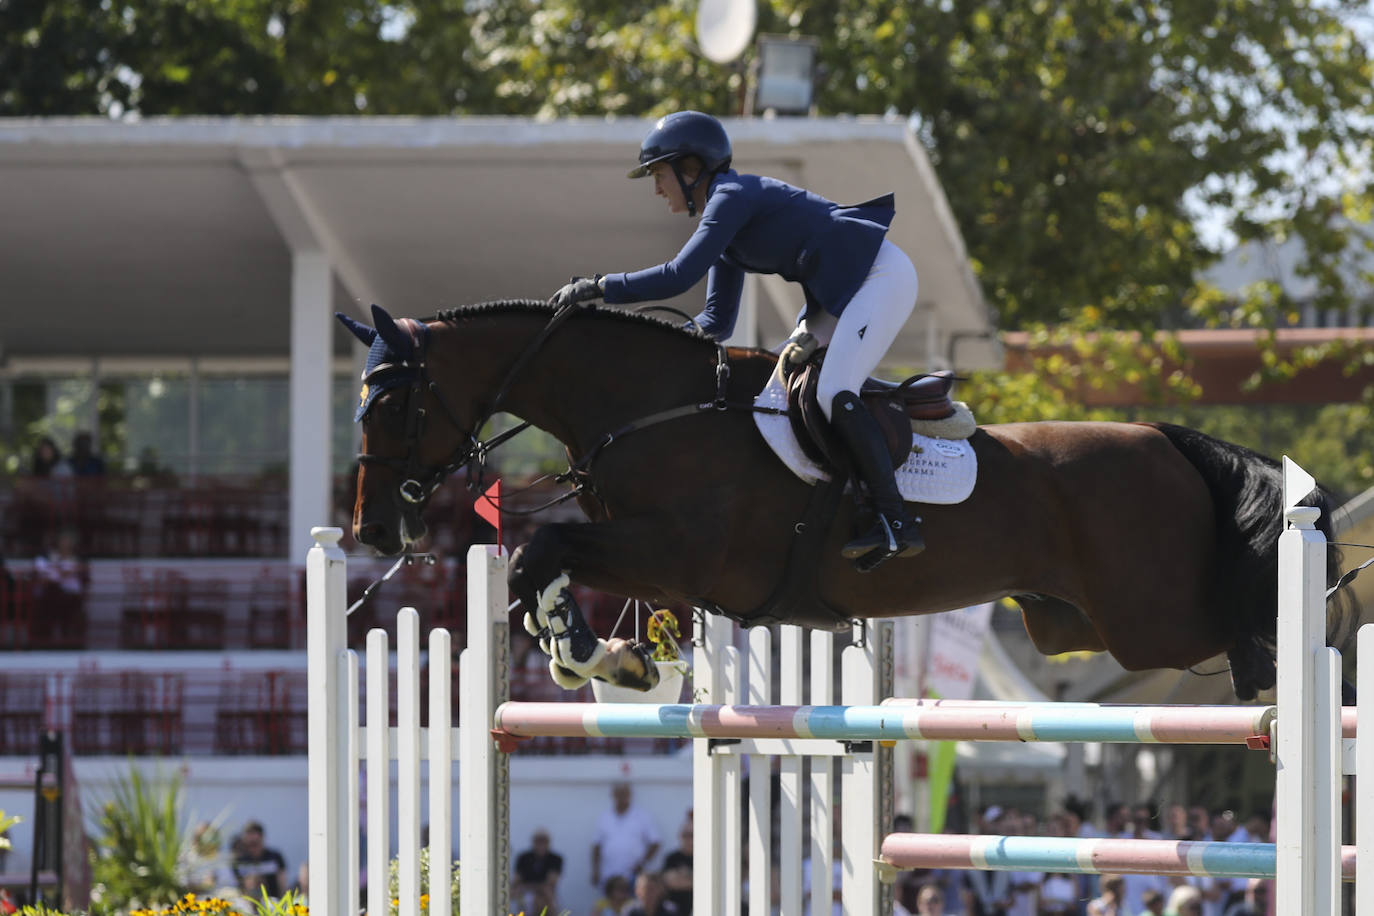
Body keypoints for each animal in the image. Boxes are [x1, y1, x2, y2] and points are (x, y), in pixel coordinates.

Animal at [338, 300, 1346, 703]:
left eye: (388, 403)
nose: (372, 528)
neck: (651, 407)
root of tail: (1168, 440)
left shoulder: (679, 552)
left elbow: (542, 553)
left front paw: (598, 656)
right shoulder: (664, 566)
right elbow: (532, 570)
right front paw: (611, 659)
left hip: (1151, 621)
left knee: (1252, 622)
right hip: (1072, 624)